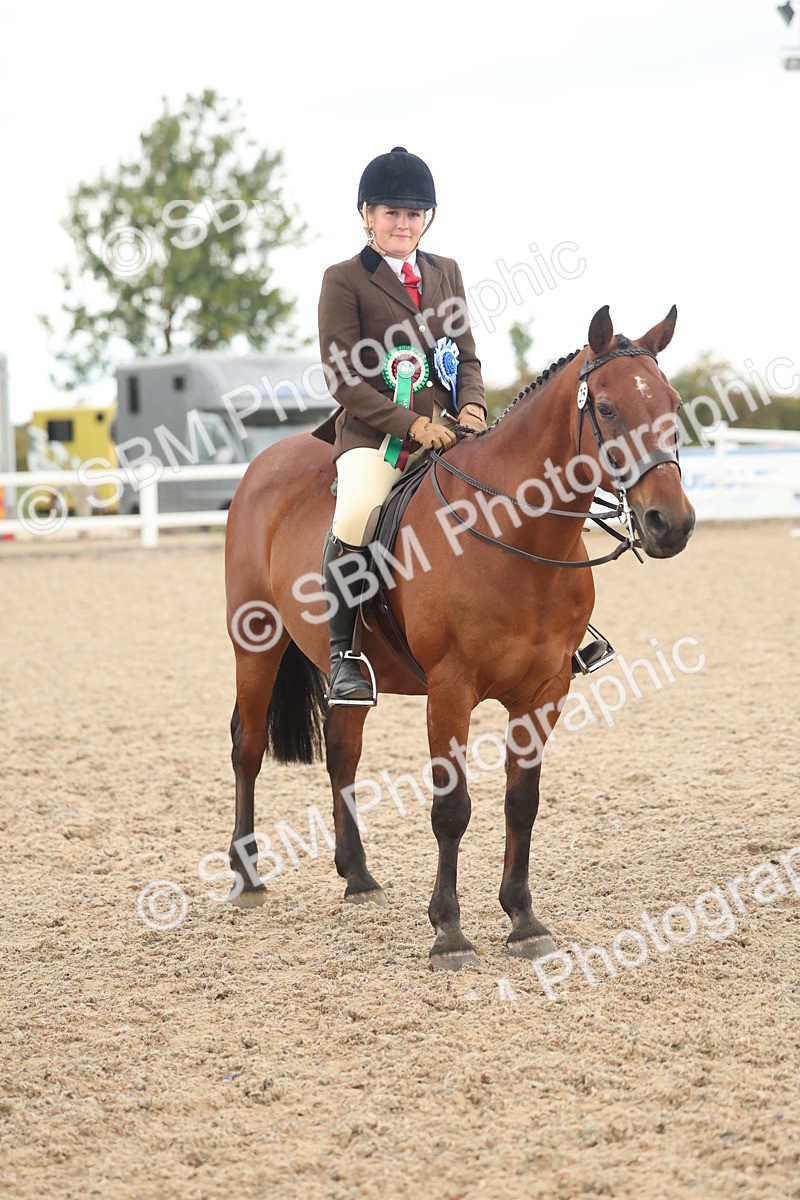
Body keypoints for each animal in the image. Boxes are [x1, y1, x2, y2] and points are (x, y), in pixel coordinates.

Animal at [223, 304, 695, 970]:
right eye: (605, 409)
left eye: (672, 403)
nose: (669, 523)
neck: (515, 535)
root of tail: (266, 462)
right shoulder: (451, 689)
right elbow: (451, 809)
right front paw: (448, 931)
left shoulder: (546, 690)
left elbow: (522, 802)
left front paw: (523, 922)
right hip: (255, 641)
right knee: (248, 745)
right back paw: (247, 877)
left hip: (350, 670)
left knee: (342, 751)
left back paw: (358, 878)